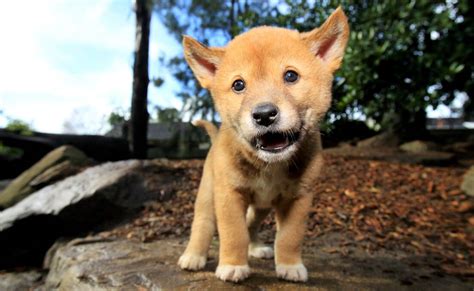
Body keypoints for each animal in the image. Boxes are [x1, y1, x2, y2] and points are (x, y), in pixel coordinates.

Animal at [178, 8, 348, 284]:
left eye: (290, 75)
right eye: (238, 84)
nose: (264, 115)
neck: (269, 165)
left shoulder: (299, 197)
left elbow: (290, 237)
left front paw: (290, 266)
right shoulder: (229, 195)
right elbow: (233, 232)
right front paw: (233, 265)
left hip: (262, 206)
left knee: (251, 223)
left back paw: (256, 248)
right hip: (207, 194)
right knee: (202, 224)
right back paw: (193, 256)